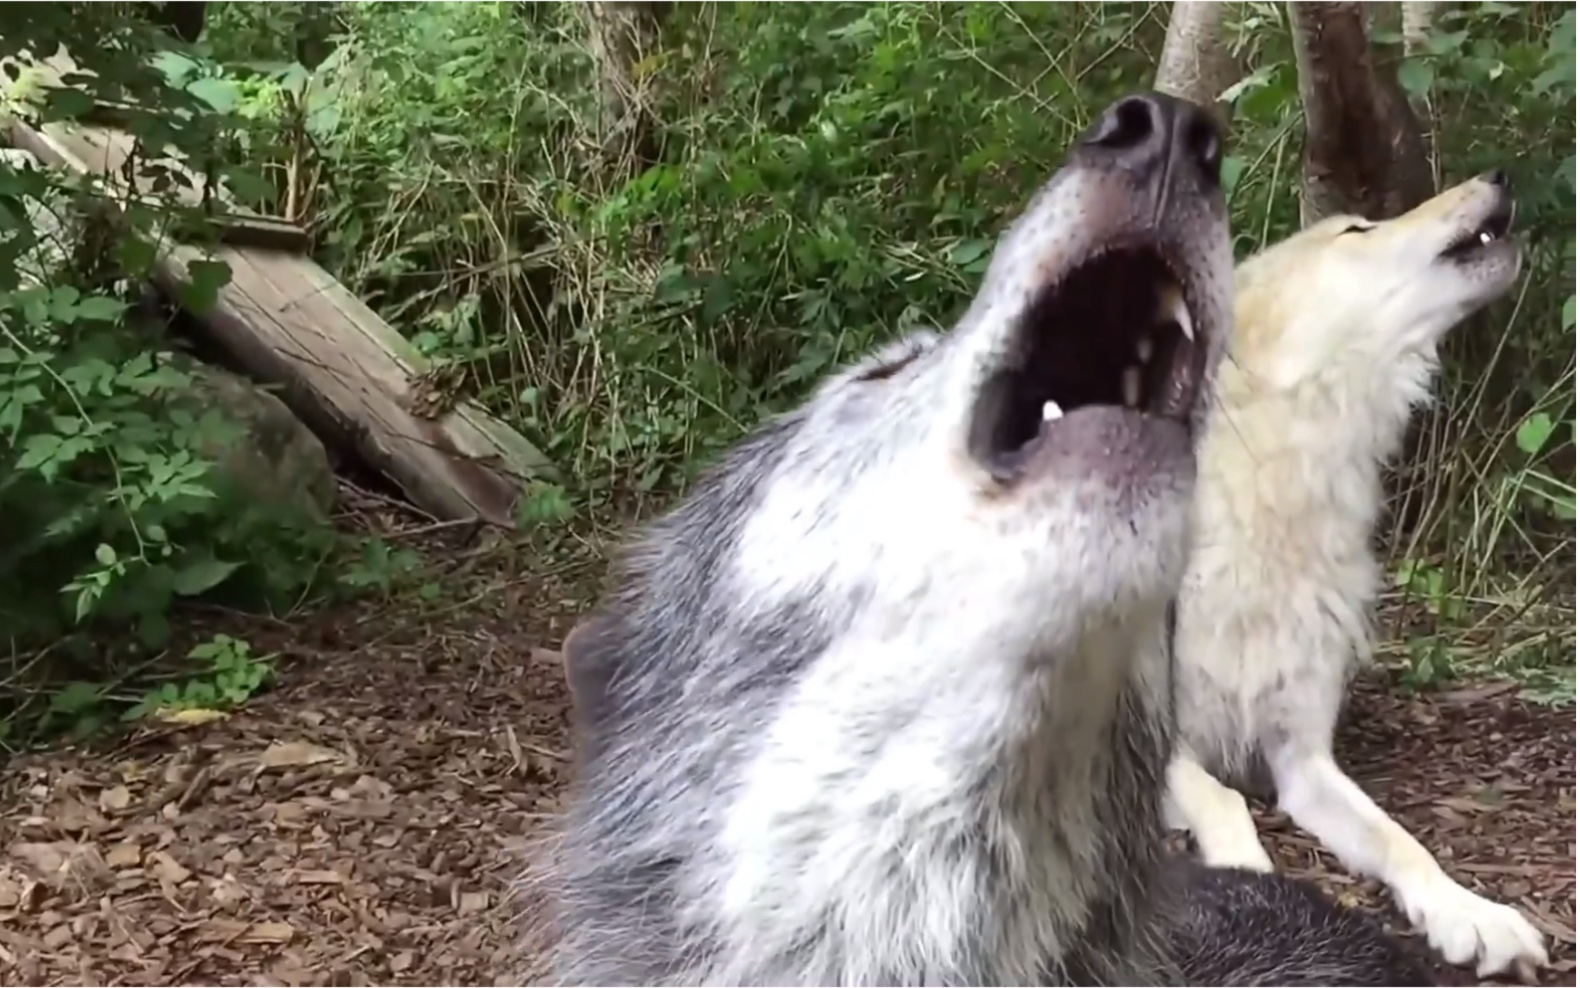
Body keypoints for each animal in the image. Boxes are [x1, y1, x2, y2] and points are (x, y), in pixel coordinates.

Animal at [1169, 169, 1548, 980]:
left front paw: (1471, 915)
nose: (1498, 177)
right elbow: (1224, 803)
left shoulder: (1303, 757)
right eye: (1356, 232)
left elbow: (1402, 841)